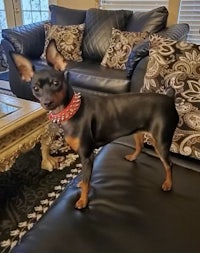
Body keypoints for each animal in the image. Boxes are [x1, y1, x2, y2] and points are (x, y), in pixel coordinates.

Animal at [10, 40, 179, 210]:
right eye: (35, 88)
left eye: (56, 83)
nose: (47, 102)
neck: (72, 111)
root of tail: (169, 98)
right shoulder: (84, 156)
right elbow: (86, 178)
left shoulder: (87, 156)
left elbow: (86, 180)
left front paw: (83, 201)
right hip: (137, 131)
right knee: (140, 146)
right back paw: (132, 157)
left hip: (160, 141)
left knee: (169, 164)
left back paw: (168, 184)